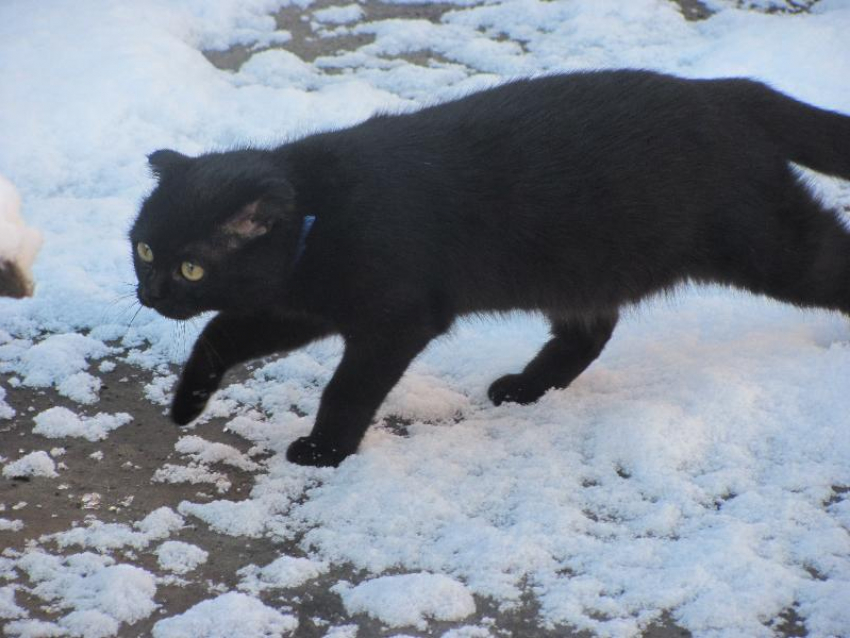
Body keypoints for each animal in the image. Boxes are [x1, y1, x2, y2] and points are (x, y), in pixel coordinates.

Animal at [131, 70, 848, 468]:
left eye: (190, 268)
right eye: (142, 249)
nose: (148, 293)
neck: (317, 215)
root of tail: (724, 91)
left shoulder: (395, 318)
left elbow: (347, 389)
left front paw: (325, 452)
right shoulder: (298, 305)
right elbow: (219, 332)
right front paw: (187, 404)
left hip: (766, 242)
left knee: (831, 256)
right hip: (577, 266)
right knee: (589, 331)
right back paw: (526, 387)